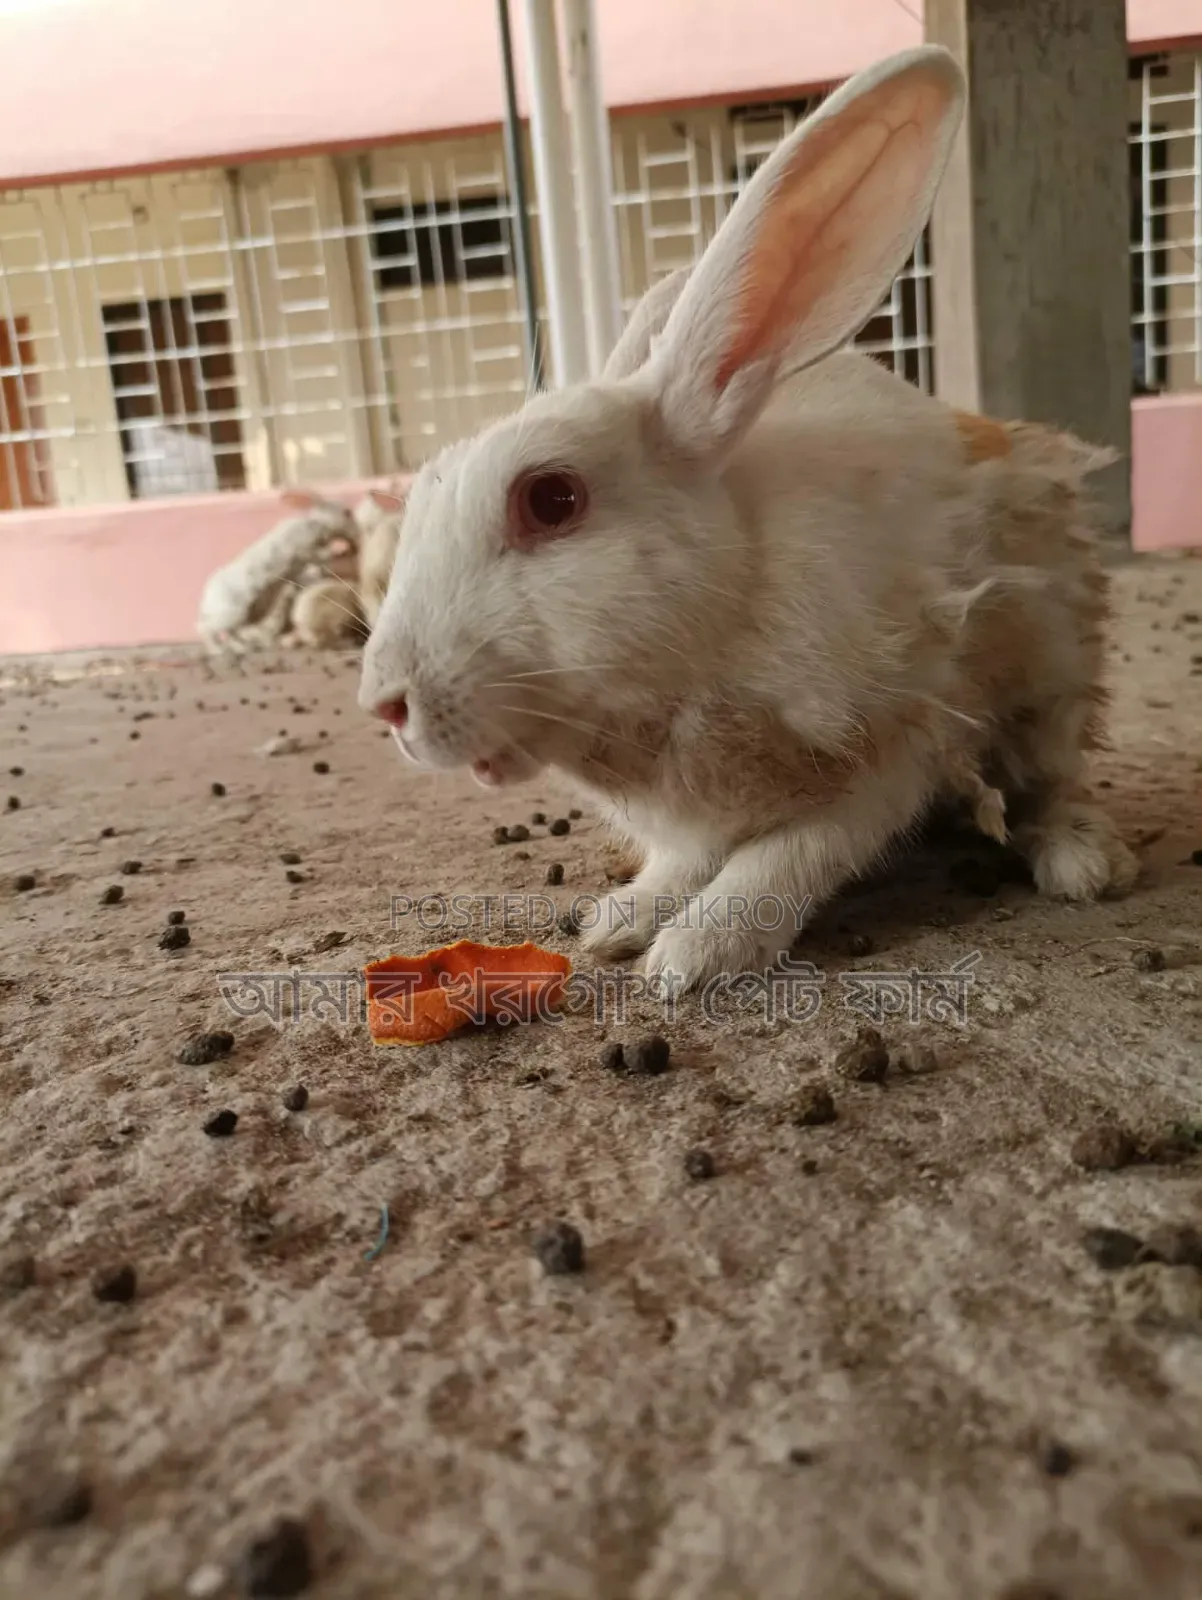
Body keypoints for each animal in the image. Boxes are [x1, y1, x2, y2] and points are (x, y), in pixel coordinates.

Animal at [197, 490, 355, 657]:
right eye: (347, 512)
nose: (352, 517)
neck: (316, 523)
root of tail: (205, 601)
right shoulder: (306, 551)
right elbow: (321, 555)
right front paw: (337, 552)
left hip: (242, 616)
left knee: (230, 633)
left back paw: (242, 648)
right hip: (229, 614)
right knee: (205, 629)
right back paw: (218, 650)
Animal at [359, 44, 1137, 994]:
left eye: (550, 499)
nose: (385, 703)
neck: (711, 626)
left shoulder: (889, 747)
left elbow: (787, 859)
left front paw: (692, 958)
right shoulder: (689, 821)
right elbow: (682, 866)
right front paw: (620, 923)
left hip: (1049, 674)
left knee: (1050, 781)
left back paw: (1082, 863)